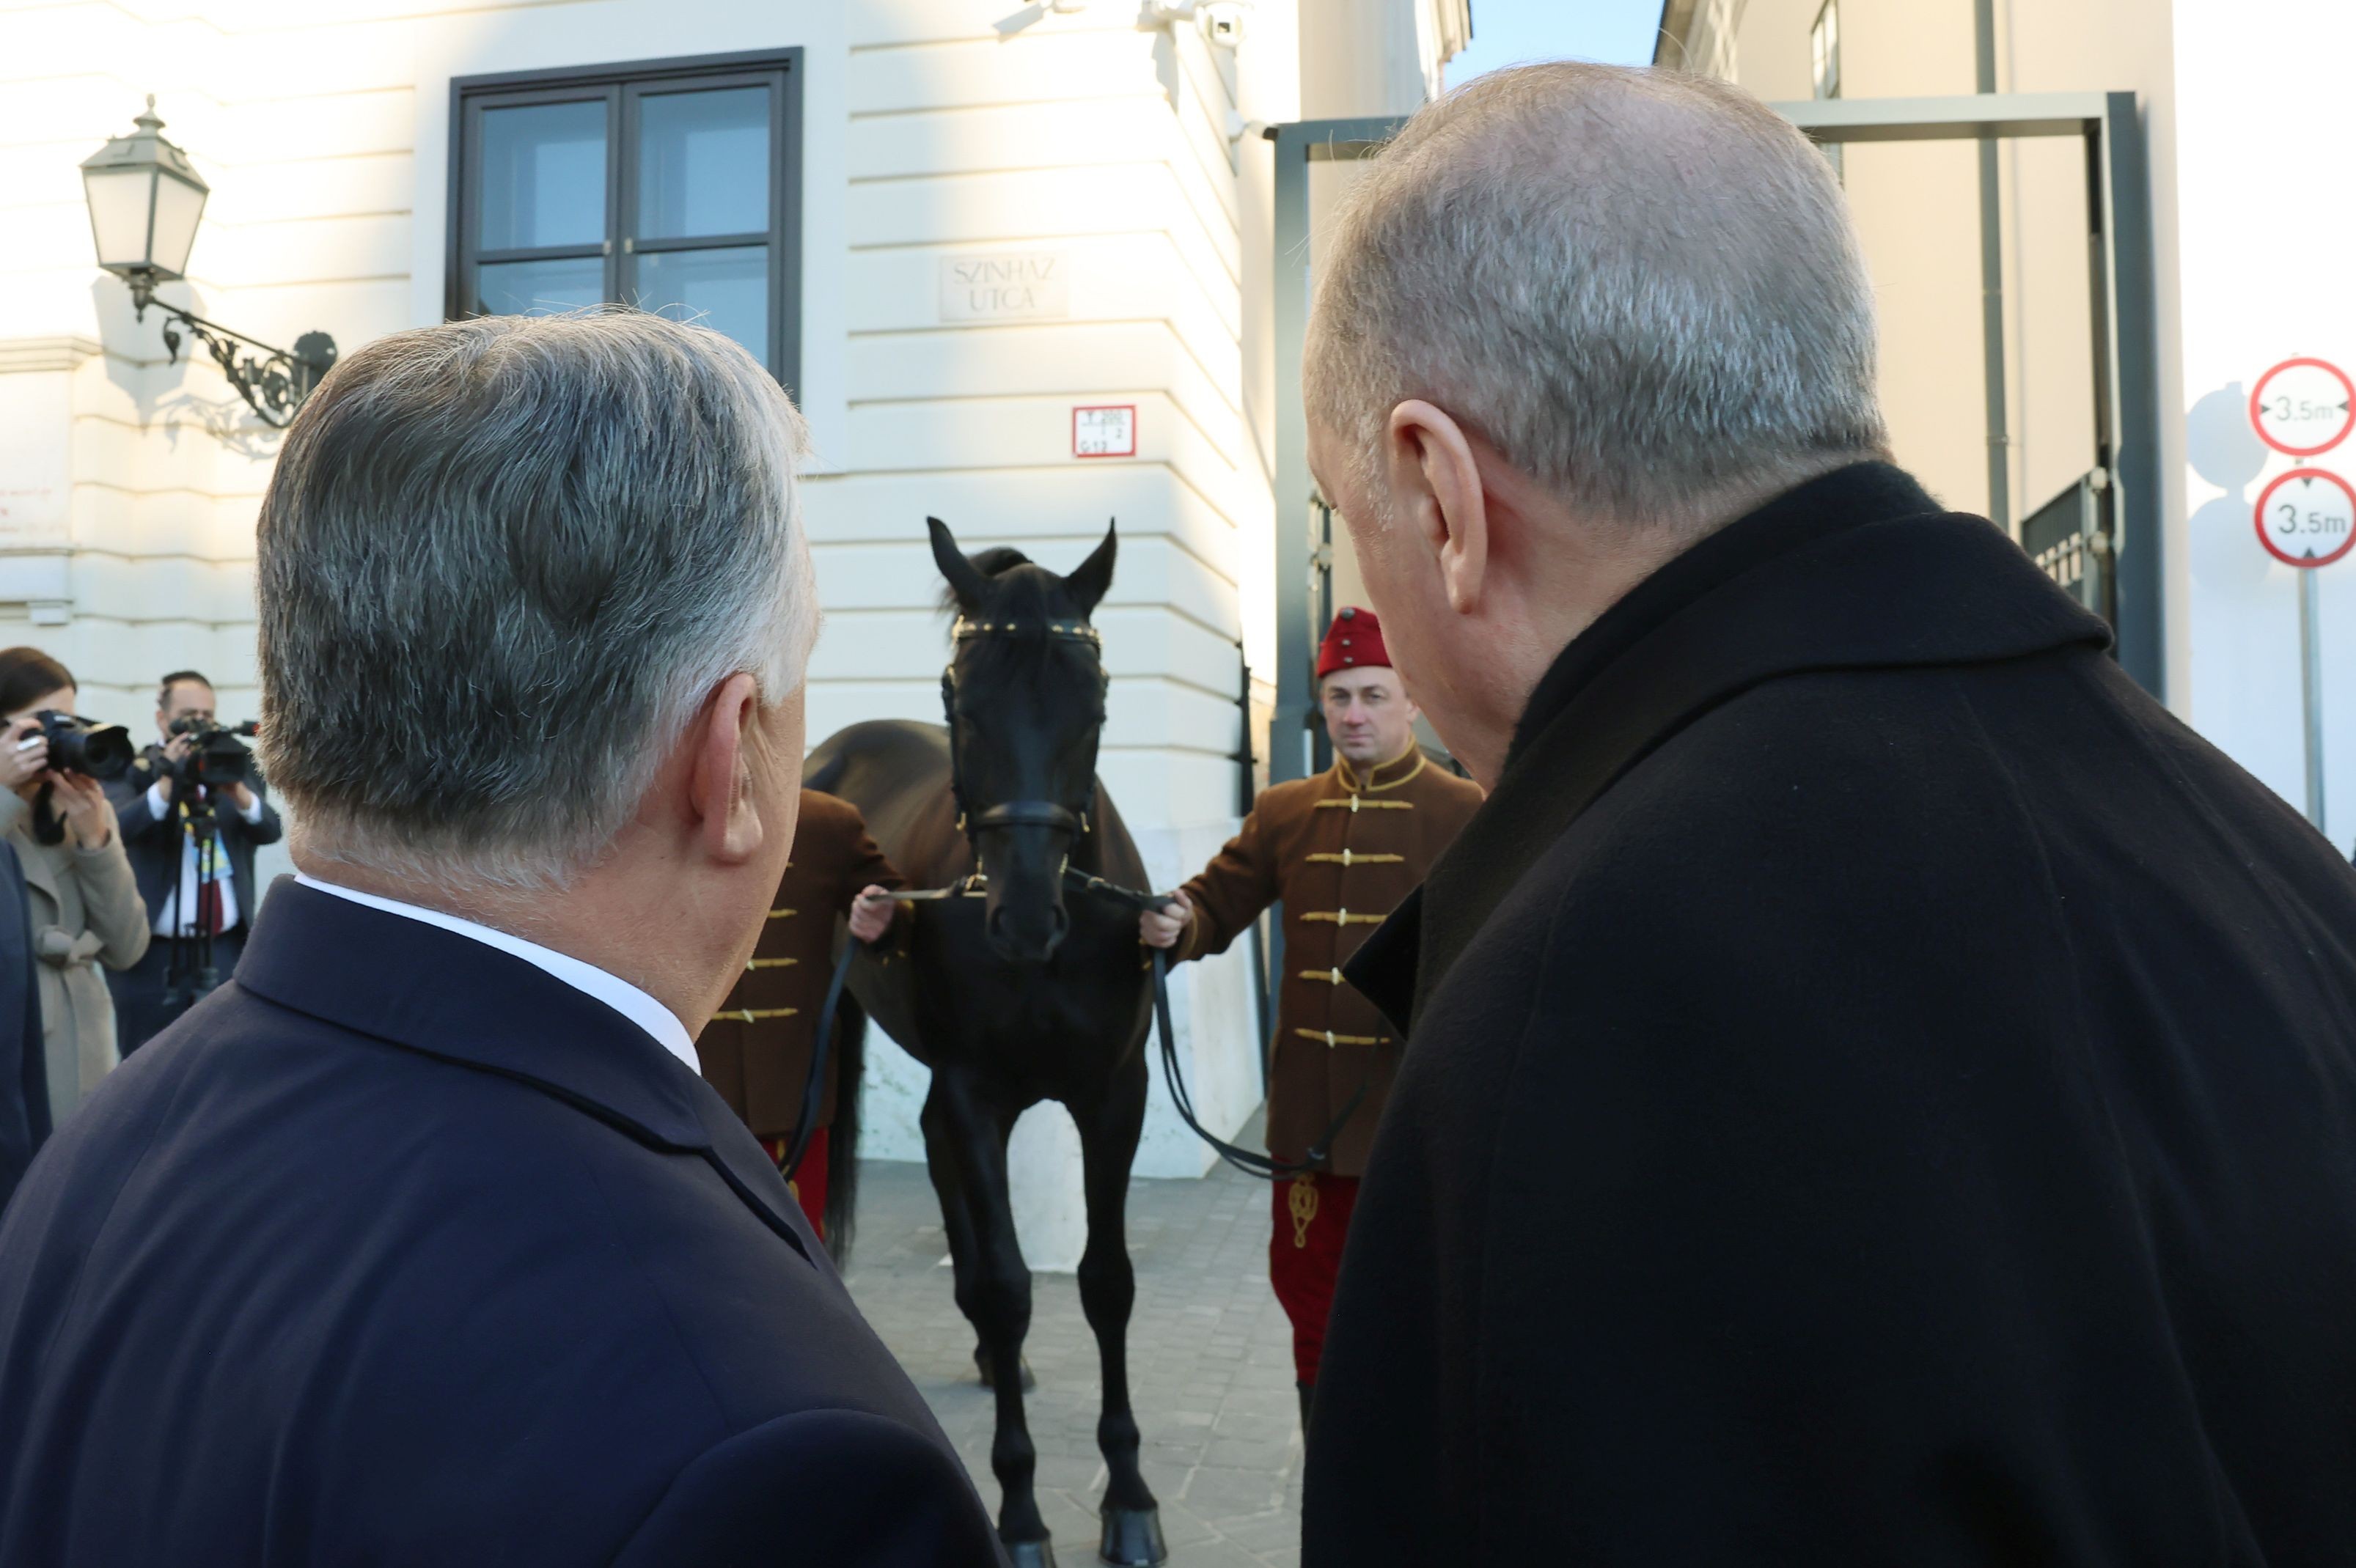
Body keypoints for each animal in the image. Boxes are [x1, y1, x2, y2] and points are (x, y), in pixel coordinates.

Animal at [810, 515, 1168, 1563]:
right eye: (959, 702)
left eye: (1095, 703)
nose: (1024, 918)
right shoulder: (980, 1094)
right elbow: (1014, 1289)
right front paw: (1020, 1514)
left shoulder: (1114, 1094)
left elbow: (1107, 1283)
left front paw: (1130, 1498)